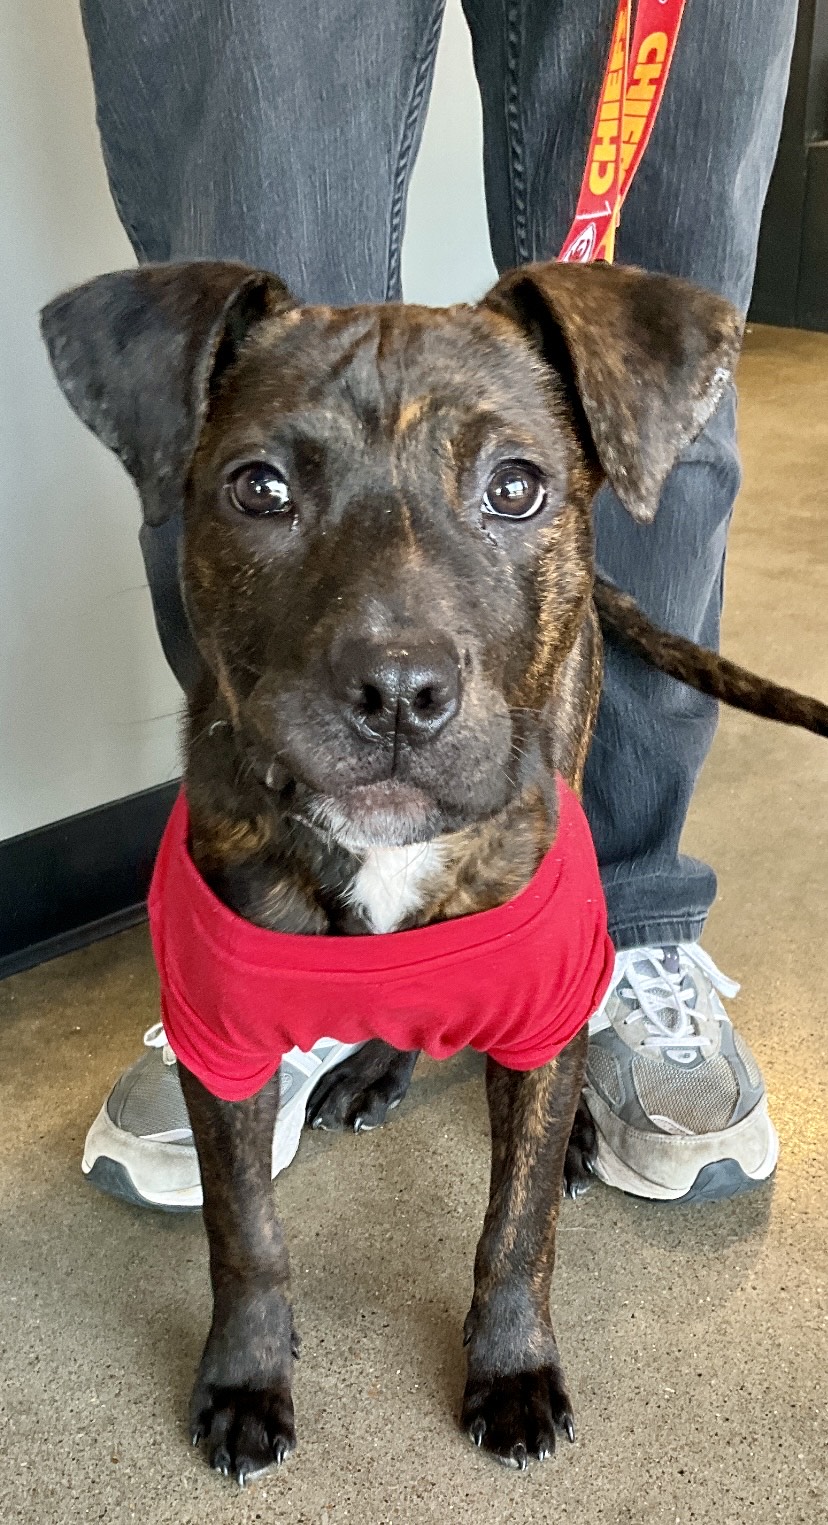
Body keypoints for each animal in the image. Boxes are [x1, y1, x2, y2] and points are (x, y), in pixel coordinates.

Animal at [42, 259, 828, 1476]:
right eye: (259, 488)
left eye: (516, 488)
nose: (399, 692)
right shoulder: (220, 1044)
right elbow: (244, 1232)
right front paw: (245, 1375)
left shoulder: (539, 998)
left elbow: (517, 1229)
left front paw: (511, 1367)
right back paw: (376, 1065)